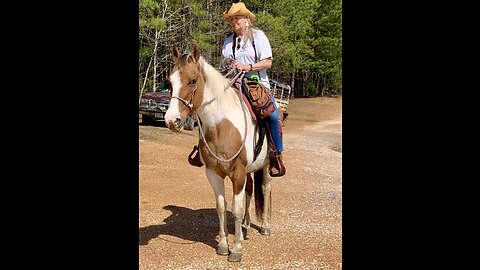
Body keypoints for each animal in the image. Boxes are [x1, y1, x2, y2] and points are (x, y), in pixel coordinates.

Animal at [163, 44, 272, 262]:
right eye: (170, 81)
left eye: (193, 80)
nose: (172, 120)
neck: (221, 126)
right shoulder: (213, 173)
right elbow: (221, 207)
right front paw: (223, 244)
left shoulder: (238, 173)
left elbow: (236, 208)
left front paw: (236, 249)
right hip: (250, 170)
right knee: (250, 191)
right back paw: (246, 227)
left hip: (266, 165)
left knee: (265, 188)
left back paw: (264, 227)